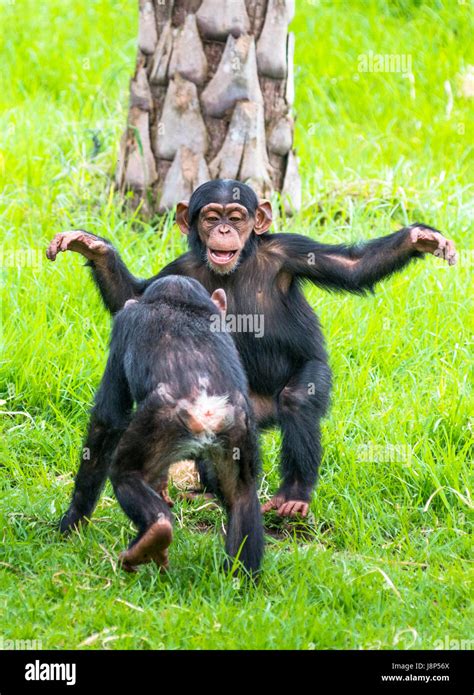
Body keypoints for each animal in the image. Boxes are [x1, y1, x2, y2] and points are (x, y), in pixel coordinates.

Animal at [46, 178, 458, 516]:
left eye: (237, 216)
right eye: (211, 217)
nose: (224, 229)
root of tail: (266, 414)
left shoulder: (291, 251)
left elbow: (353, 266)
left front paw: (420, 238)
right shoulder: (177, 270)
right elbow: (132, 294)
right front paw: (94, 248)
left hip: (298, 384)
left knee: (298, 400)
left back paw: (294, 495)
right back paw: (207, 490)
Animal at [59, 276, 262, 576]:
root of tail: (208, 409)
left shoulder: (122, 327)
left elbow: (108, 418)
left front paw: (72, 521)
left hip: (159, 423)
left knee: (125, 472)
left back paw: (153, 536)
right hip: (239, 429)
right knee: (242, 495)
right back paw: (239, 579)